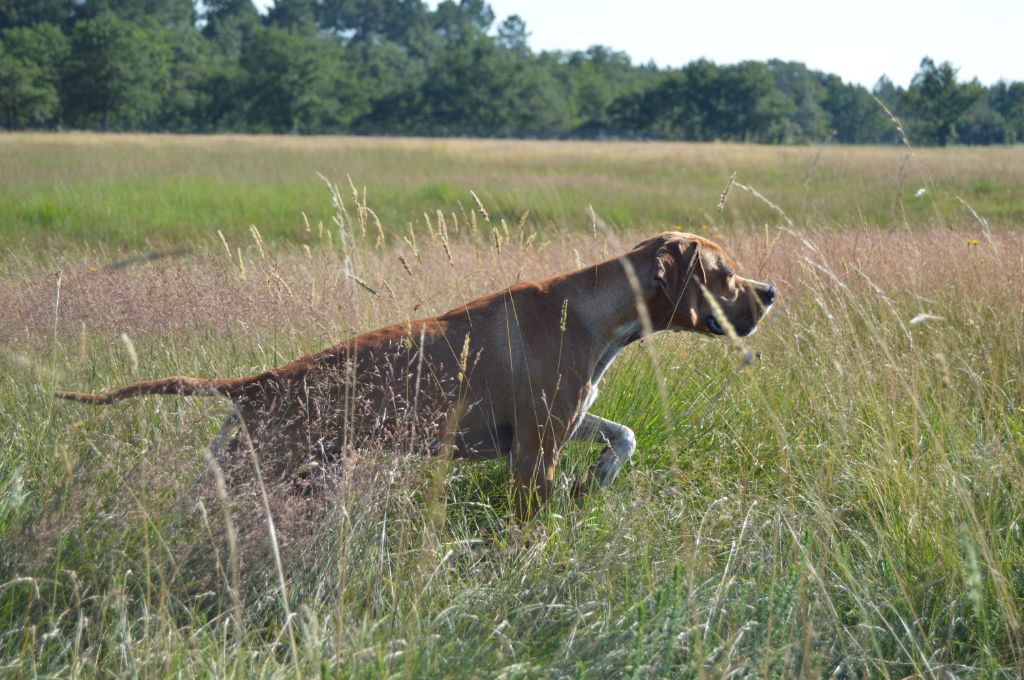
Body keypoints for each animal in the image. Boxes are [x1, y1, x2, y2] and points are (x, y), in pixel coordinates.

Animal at [56, 235, 770, 516]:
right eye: (724, 272)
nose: (770, 291)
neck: (596, 312)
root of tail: (258, 382)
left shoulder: (558, 424)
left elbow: (622, 436)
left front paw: (596, 479)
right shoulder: (534, 450)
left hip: (296, 467)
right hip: (264, 466)